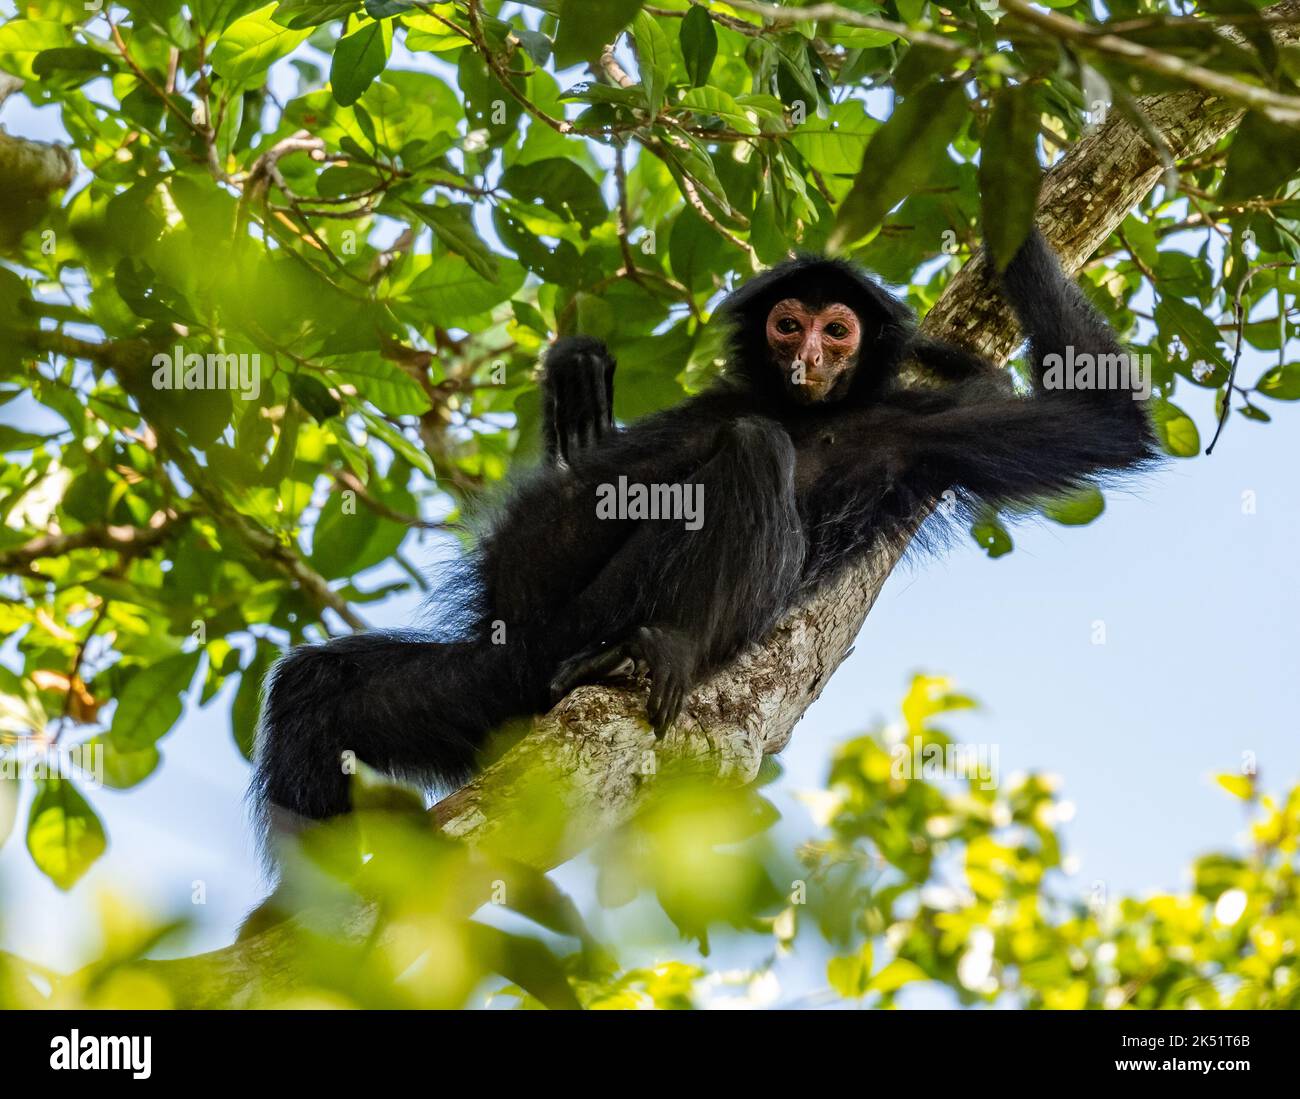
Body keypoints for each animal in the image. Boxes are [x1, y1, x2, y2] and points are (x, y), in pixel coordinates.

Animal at [253, 227, 1159, 847]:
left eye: (837, 330)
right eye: (789, 324)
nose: (807, 357)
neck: (804, 410)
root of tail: (521, 666)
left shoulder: (920, 435)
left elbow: (1105, 422)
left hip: (590, 618)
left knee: (751, 449)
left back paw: (663, 649)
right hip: (481, 681)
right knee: (311, 692)